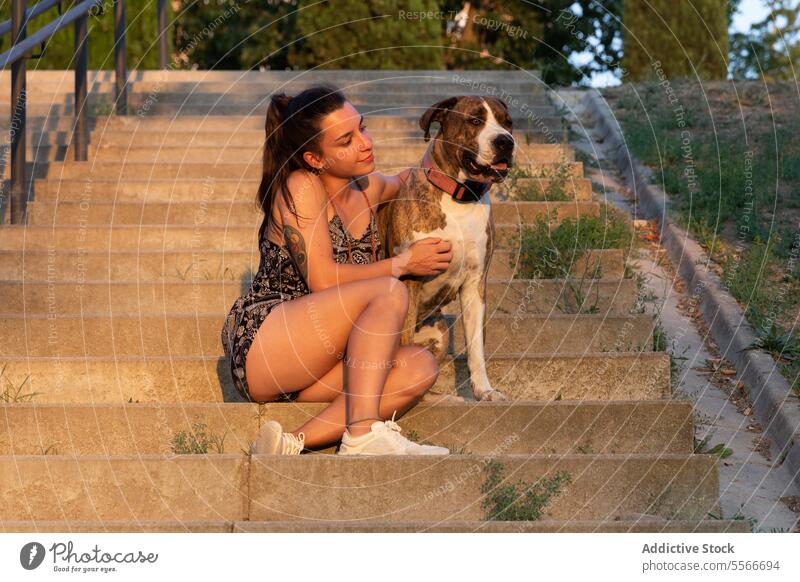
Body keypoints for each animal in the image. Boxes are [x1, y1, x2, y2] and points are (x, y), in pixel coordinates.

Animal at [378, 96, 516, 404]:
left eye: (508, 122)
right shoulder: (410, 280)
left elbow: (476, 347)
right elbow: (402, 342)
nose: (506, 141)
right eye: (474, 120)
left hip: (438, 332)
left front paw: (484, 390)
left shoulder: (475, 285)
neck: (459, 198)